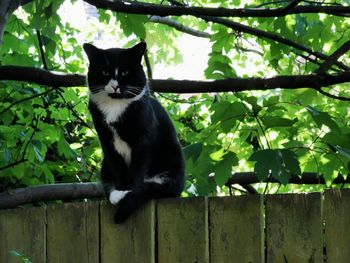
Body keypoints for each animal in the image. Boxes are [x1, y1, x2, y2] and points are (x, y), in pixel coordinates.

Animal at [83, 42, 186, 224]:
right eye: (104, 71)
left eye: (125, 72)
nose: (115, 85)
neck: (115, 108)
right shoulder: (107, 142)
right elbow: (118, 167)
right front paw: (121, 191)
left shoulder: (143, 140)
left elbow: (138, 167)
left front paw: (130, 191)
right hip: (105, 165)